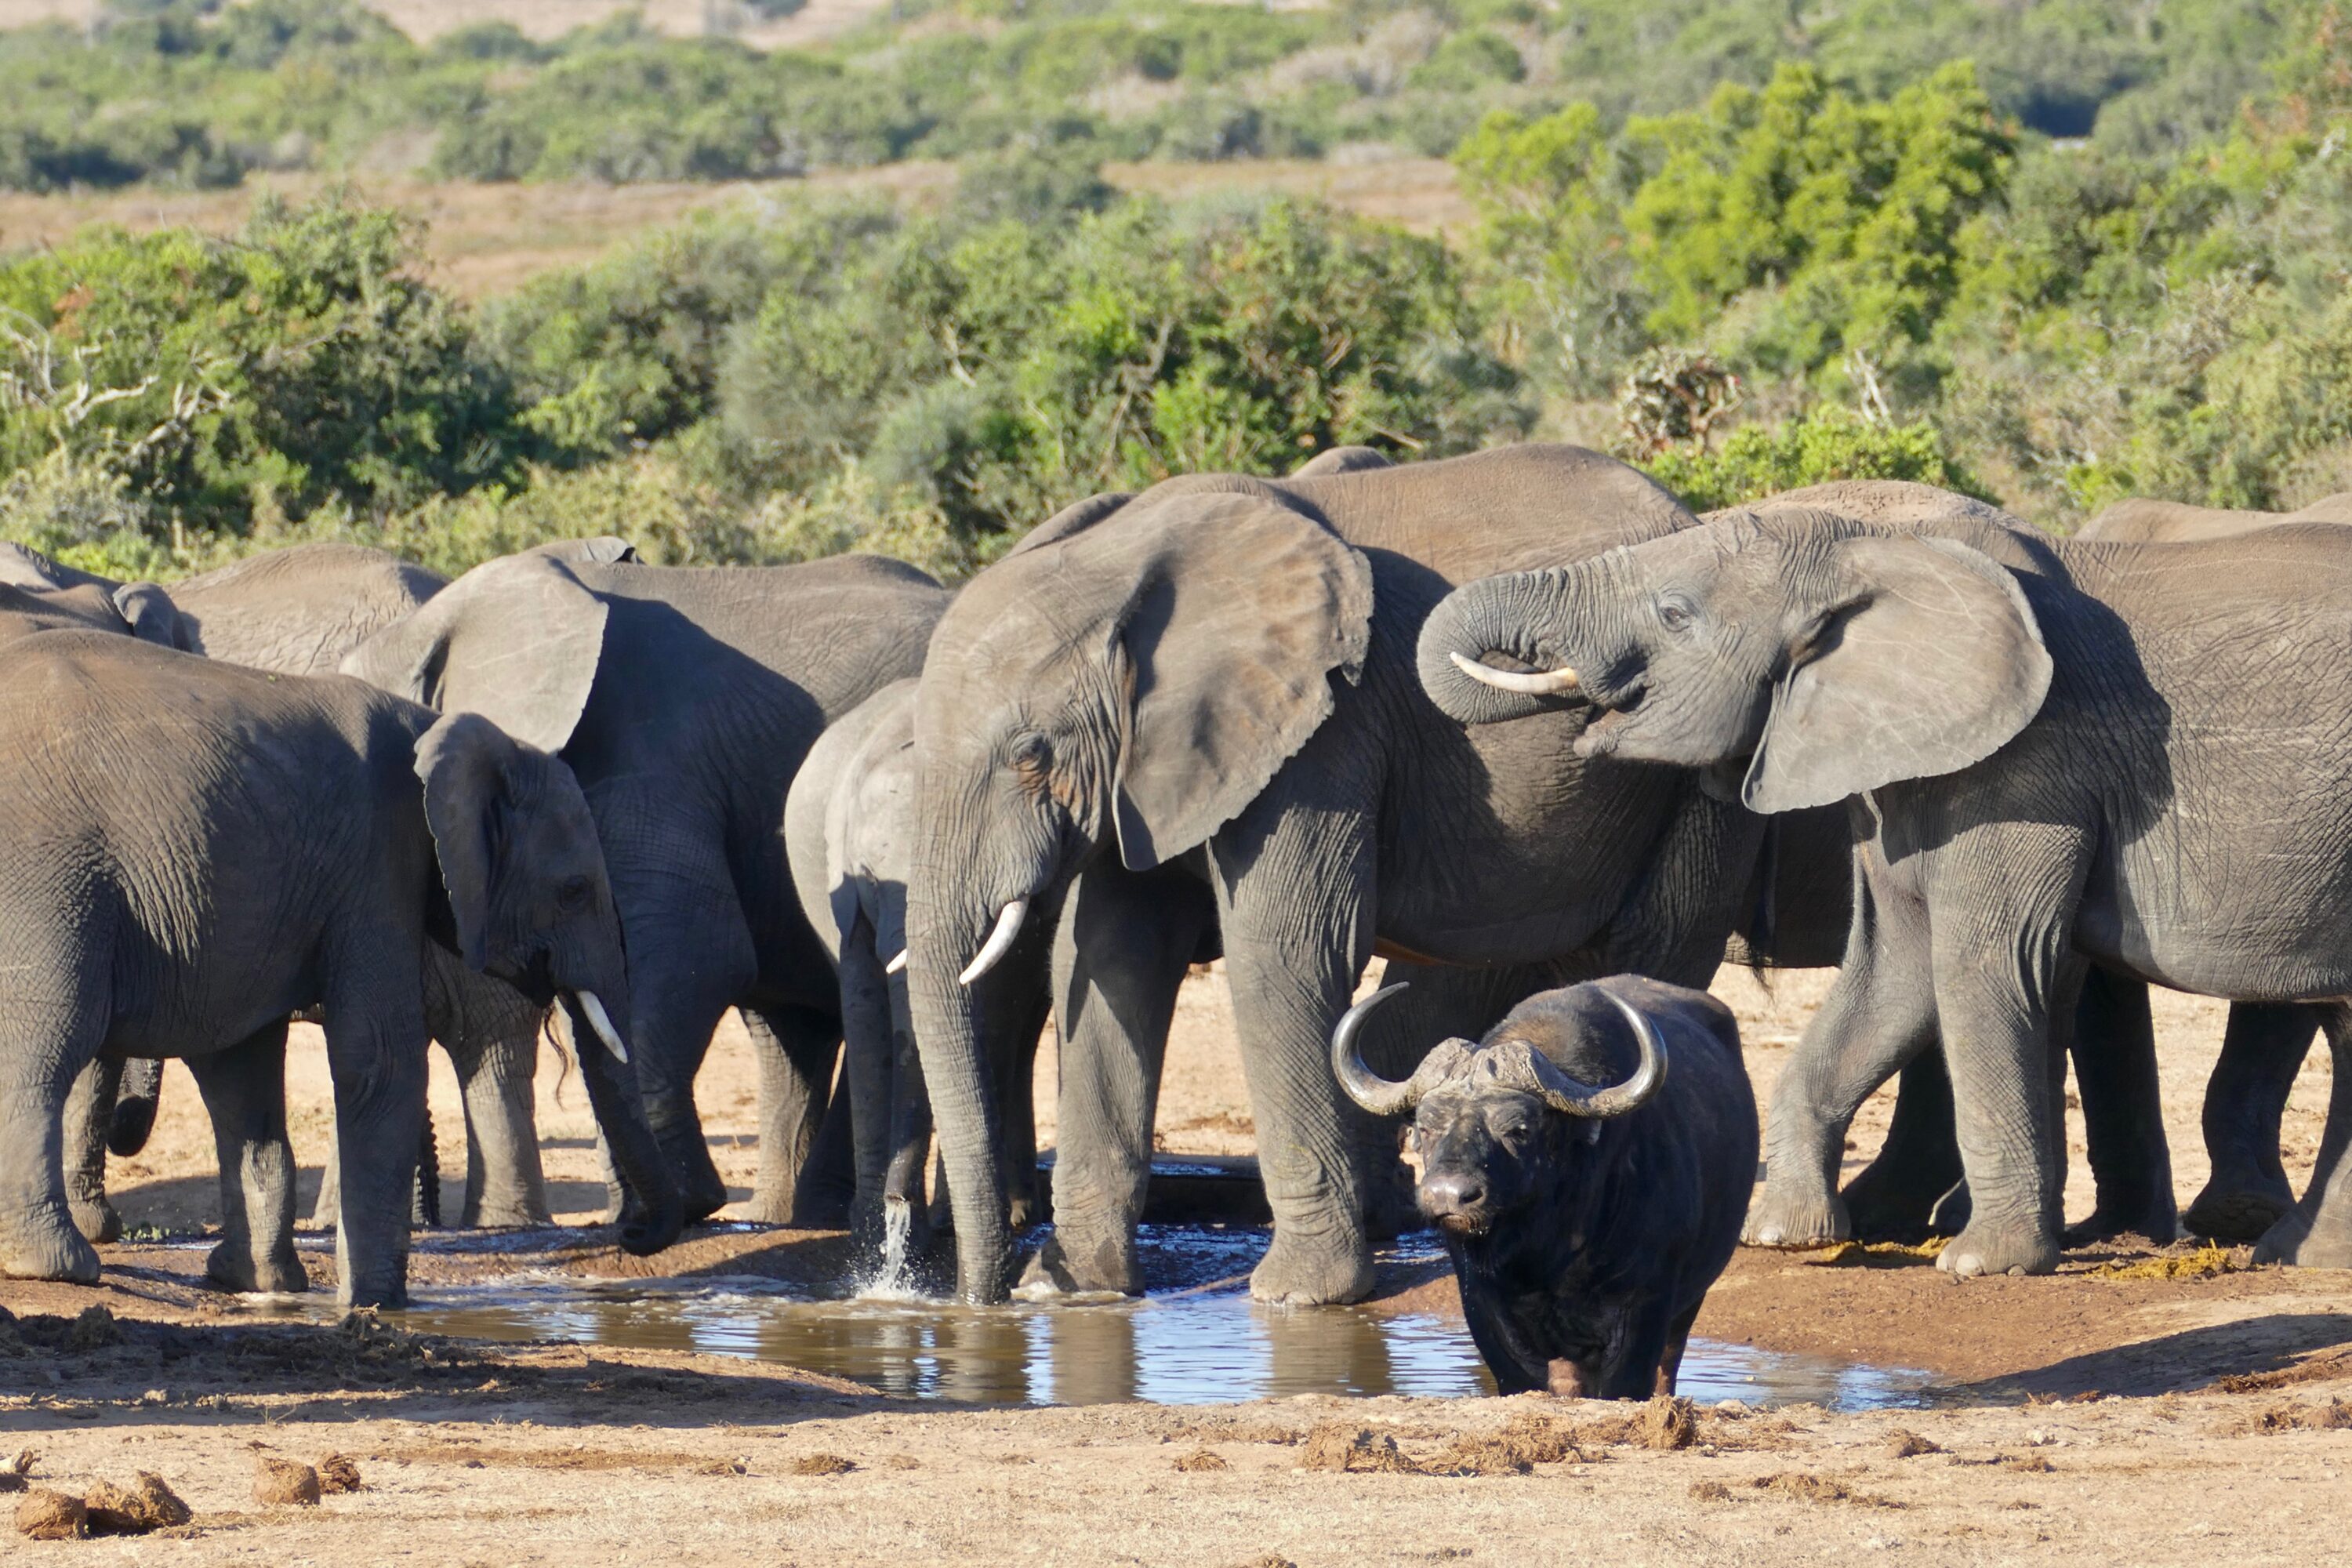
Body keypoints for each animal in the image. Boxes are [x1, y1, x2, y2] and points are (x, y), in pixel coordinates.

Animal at [0, 631, 678, 1306]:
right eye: (573, 891)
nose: (633, 1235)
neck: (451, 736)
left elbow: (243, 1076)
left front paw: (260, 1285)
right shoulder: (379, 863)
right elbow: (378, 1059)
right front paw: (377, 1304)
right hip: (50, 883)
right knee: (46, 1047)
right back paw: (55, 1265)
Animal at [344, 549, 952, 1227]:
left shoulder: (652, 756)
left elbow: (702, 955)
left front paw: (685, 1205)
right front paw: (660, 1208)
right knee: (793, 1026)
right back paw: (790, 1216)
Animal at [899, 442, 1824, 1306]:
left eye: (1030, 753)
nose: (975, 1299)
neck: (1123, 563)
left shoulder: (1323, 734)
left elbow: (1286, 952)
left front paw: (1300, 1295)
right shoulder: (1154, 765)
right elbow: (1111, 958)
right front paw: (1069, 1291)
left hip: (1700, 762)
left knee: (1651, 949)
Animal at [1417, 501, 2352, 1276]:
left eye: (1675, 613)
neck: (1878, 551)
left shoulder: (2029, 766)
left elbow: (1981, 966)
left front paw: (1981, 1266)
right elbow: (1891, 969)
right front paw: (1784, 1236)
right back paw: (2301, 1255)